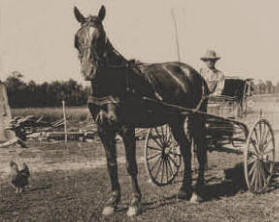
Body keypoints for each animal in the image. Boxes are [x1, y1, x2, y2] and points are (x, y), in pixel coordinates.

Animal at [74, 5, 210, 217]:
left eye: (101, 37)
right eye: (77, 38)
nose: (89, 71)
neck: (111, 85)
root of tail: (194, 73)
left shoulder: (126, 129)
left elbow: (131, 166)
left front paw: (135, 202)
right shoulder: (103, 130)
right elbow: (111, 165)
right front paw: (112, 202)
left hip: (196, 118)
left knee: (200, 150)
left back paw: (197, 192)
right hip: (175, 120)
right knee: (186, 149)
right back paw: (184, 189)